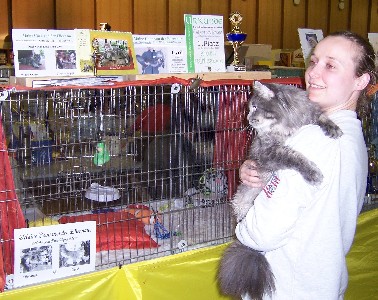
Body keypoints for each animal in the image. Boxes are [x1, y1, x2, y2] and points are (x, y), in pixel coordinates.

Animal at [217, 81, 344, 300]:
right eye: (249, 108)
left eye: (255, 107)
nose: (248, 118)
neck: (284, 123)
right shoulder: (269, 152)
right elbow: (293, 156)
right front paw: (313, 173)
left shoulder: (307, 113)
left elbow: (320, 117)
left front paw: (333, 128)